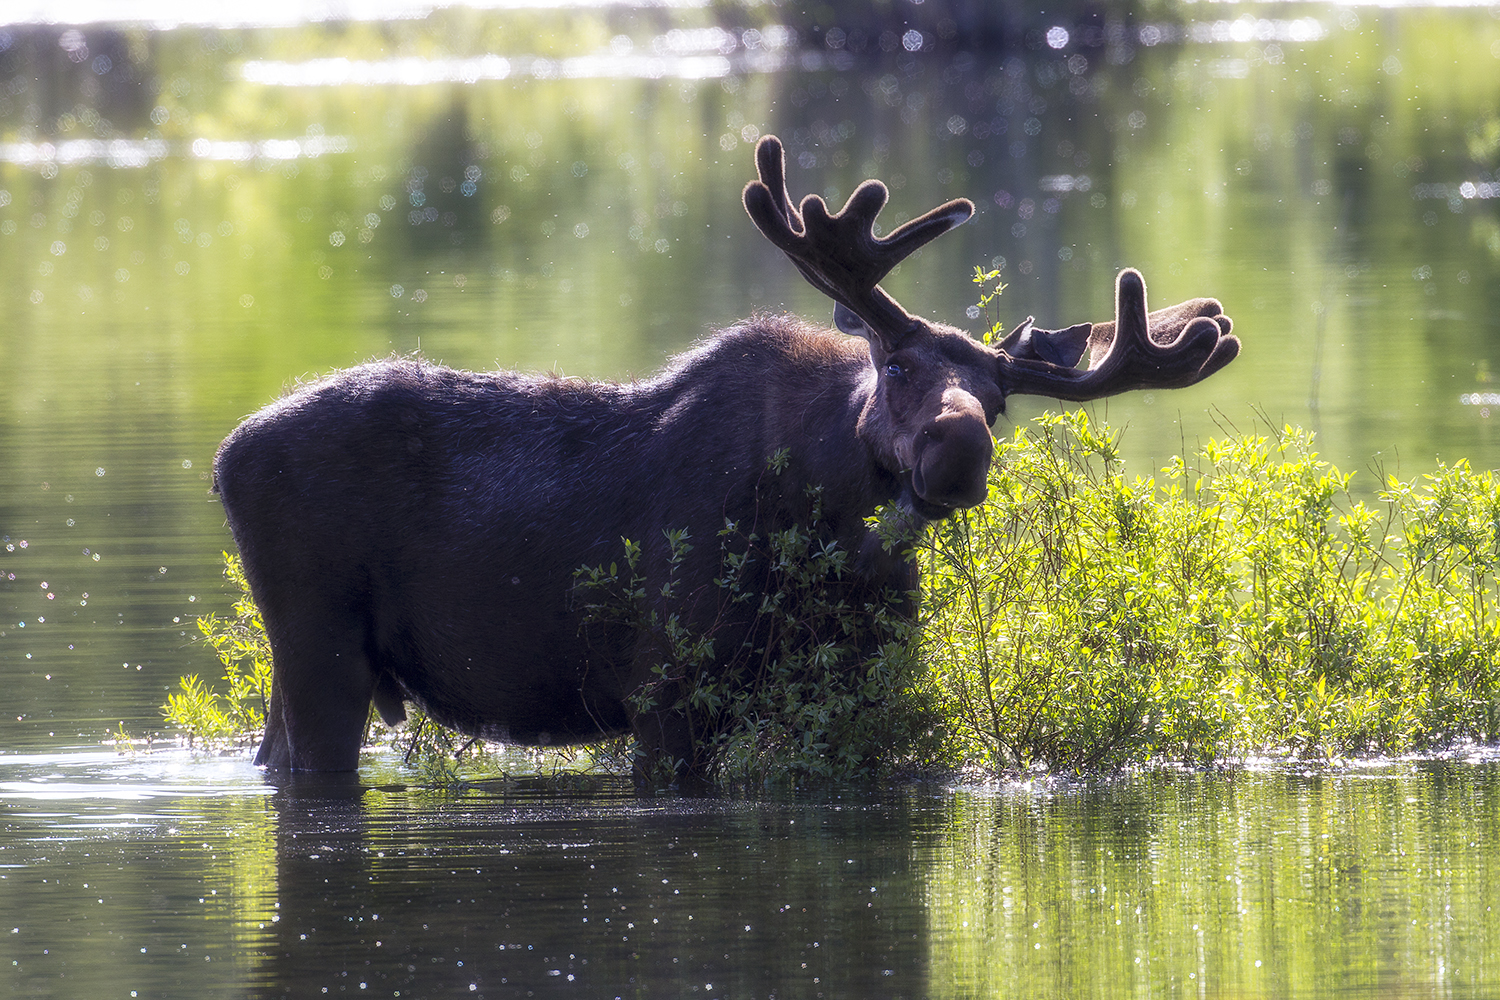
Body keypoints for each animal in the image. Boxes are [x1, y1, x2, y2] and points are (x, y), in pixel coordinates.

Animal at [212, 134, 1238, 782]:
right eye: (895, 364)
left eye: (998, 402)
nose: (960, 452)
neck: (825, 525)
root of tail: (225, 456)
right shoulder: (664, 689)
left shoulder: (869, 684)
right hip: (317, 643)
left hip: (300, 666)